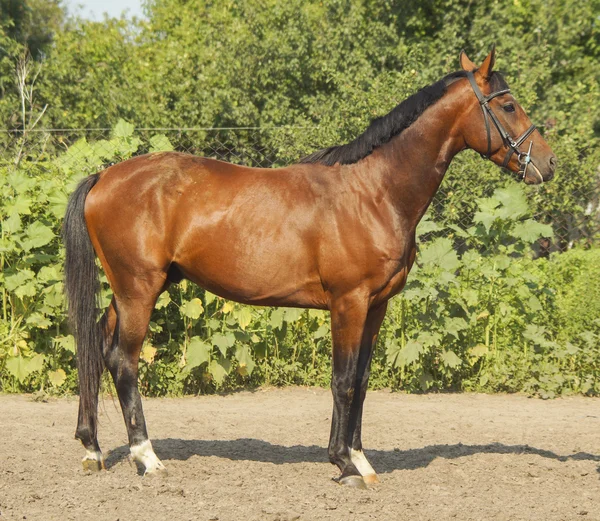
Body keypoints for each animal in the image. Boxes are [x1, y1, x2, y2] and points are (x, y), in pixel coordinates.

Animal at [63, 48, 556, 488]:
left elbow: (362, 380)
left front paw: (360, 459)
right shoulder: (348, 303)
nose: (547, 164)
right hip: (139, 290)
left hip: (134, 291)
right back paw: (147, 458)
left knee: (98, 348)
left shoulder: (375, 307)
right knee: (124, 361)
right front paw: (344, 463)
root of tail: (104, 177)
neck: (374, 192)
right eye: (508, 105)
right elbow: (343, 380)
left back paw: (92, 448)